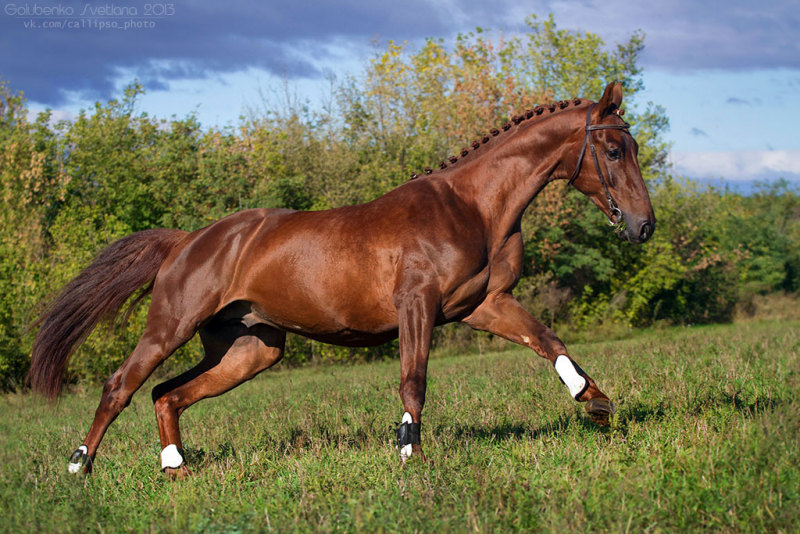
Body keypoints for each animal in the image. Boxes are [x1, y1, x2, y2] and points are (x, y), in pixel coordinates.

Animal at [31, 82, 656, 478]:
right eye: (611, 148)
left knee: (167, 394)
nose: (643, 225)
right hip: (171, 326)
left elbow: (547, 340)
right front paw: (410, 456)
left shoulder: (483, 304)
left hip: (251, 349)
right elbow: (413, 382)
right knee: (122, 385)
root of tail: (189, 240)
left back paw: (176, 469)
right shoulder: (417, 305)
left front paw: (596, 402)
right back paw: (79, 466)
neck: (472, 208)